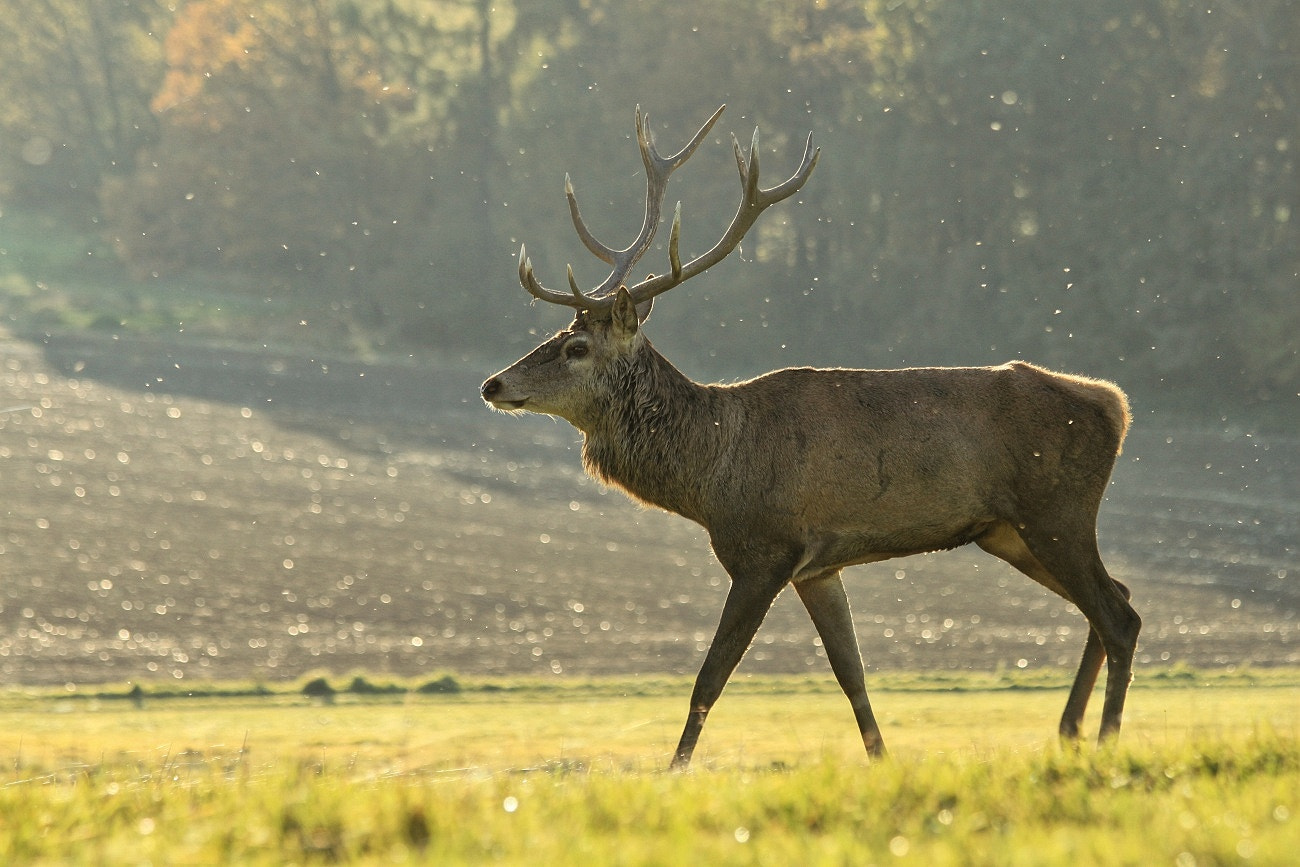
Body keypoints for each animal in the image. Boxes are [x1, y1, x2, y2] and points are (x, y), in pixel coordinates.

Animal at [481, 105, 1140, 769]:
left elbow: (709, 678)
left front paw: (674, 771)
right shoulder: (818, 567)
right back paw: (1068, 731)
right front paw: (880, 761)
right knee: (1118, 596)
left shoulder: (767, 551)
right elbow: (852, 675)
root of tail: (1114, 404)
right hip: (1009, 531)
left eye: (576, 347)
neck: (712, 476)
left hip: (1056, 510)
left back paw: (1107, 737)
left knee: (1119, 617)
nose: (492, 384)